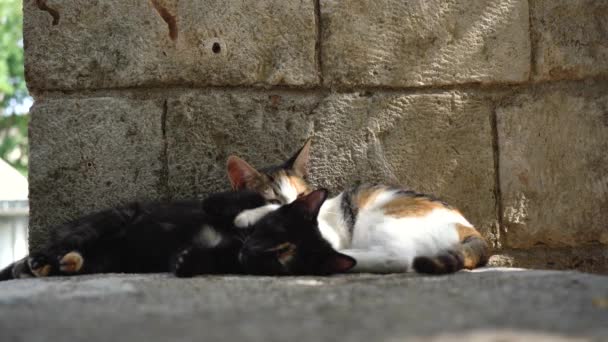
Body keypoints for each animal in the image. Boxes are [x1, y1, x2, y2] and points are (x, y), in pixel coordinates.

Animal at [227, 139, 490, 276]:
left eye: (302, 195)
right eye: (274, 198)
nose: (298, 203)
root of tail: (469, 229)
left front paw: (245, 216)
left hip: (380, 220)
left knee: (398, 258)